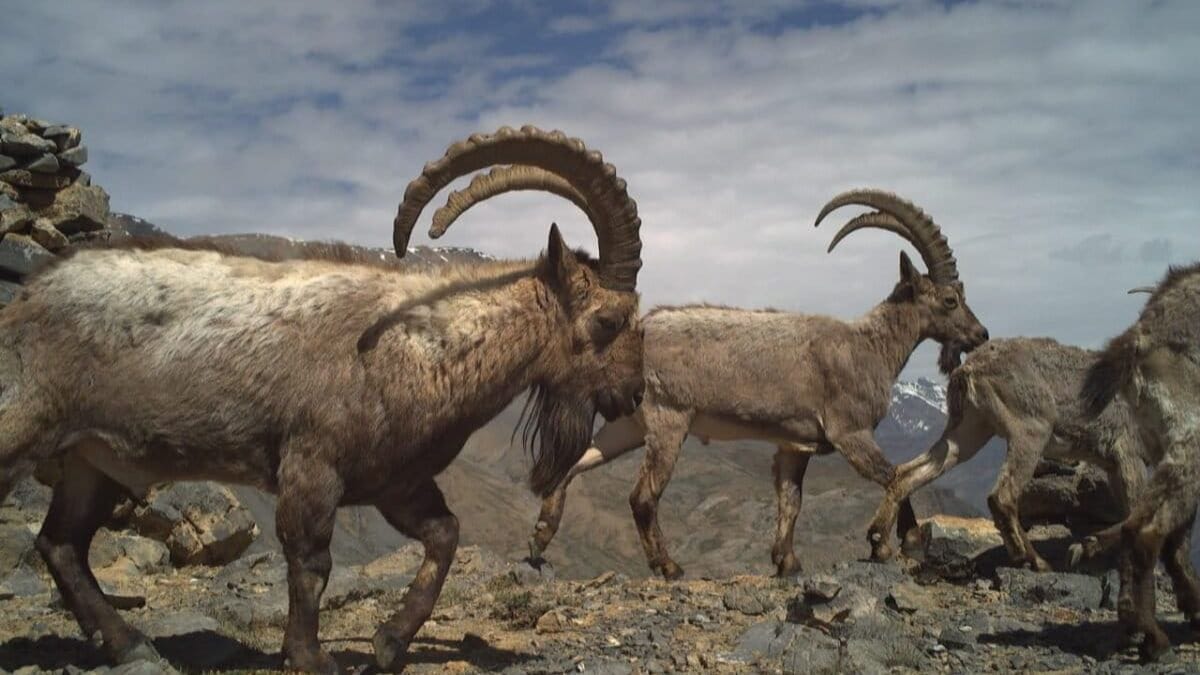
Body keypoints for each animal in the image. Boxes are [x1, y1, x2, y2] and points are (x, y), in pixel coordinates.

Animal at [0, 126, 647, 672]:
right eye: (610, 320)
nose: (634, 393)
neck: (423, 345)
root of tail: (28, 296)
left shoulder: (396, 482)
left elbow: (445, 535)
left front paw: (388, 643)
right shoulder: (311, 466)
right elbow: (312, 563)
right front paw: (311, 656)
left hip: (93, 459)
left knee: (60, 543)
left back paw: (128, 642)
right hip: (21, 427)